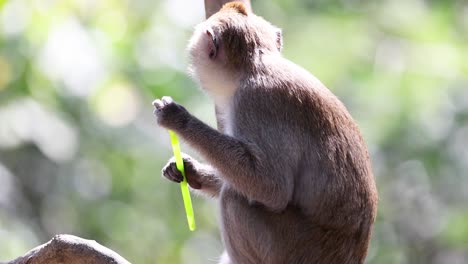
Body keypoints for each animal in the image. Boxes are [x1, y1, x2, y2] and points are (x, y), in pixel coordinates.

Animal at [153, 2, 376, 264]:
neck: (258, 63)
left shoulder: (253, 102)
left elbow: (270, 187)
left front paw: (178, 119)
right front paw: (188, 169)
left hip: (289, 249)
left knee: (233, 199)